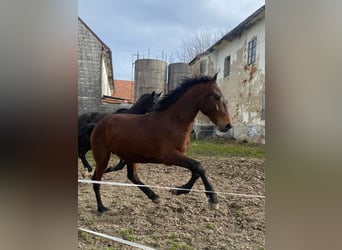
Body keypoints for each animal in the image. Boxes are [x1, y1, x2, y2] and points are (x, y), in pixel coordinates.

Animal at [91, 73, 232, 212]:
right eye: (217, 97)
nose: (227, 125)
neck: (173, 121)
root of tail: (100, 122)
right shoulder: (170, 156)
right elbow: (199, 167)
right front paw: (213, 200)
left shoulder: (181, 154)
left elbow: (196, 172)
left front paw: (178, 190)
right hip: (103, 156)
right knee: (96, 179)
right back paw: (101, 207)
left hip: (129, 156)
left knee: (132, 176)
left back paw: (155, 197)